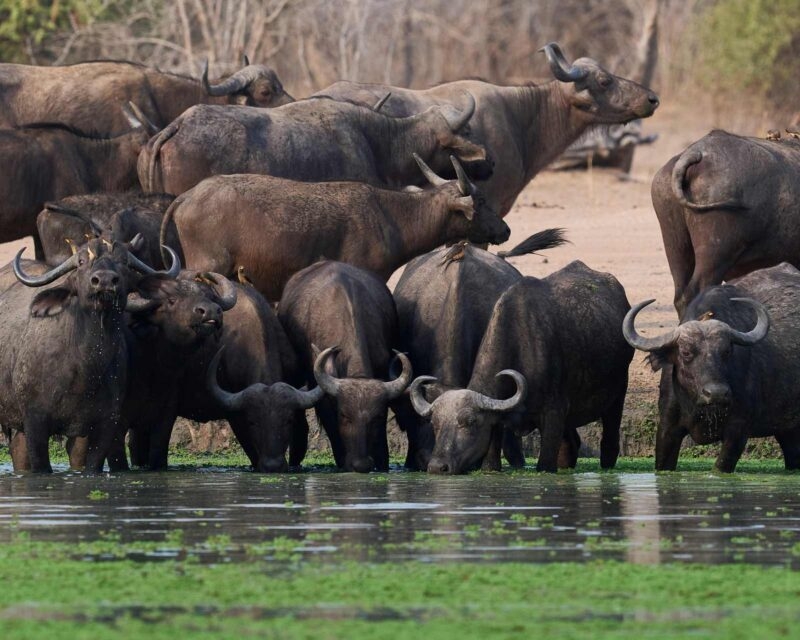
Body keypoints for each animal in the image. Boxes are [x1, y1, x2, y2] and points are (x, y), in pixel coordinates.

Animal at [410, 261, 633, 474]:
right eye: (434, 423)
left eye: (470, 421)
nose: (438, 467)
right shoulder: (496, 423)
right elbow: (490, 465)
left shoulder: (553, 414)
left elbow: (545, 464)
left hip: (618, 394)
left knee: (609, 444)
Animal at [623, 263, 800, 472]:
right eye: (686, 353)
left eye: (727, 351)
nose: (716, 393)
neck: (698, 406)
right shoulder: (667, 427)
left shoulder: (738, 430)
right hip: (787, 430)